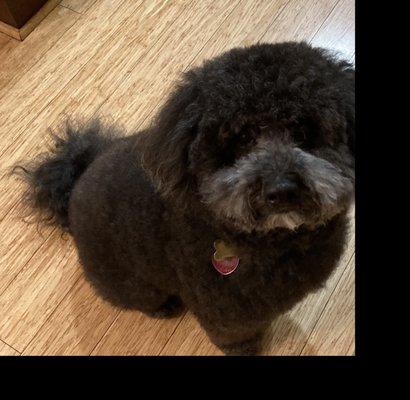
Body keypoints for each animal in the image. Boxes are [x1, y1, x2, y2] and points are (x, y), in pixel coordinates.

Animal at [17, 42, 354, 354]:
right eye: (243, 138)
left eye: (302, 130)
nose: (281, 190)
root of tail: (75, 180)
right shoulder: (225, 312)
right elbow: (235, 336)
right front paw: (246, 350)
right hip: (130, 283)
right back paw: (162, 308)